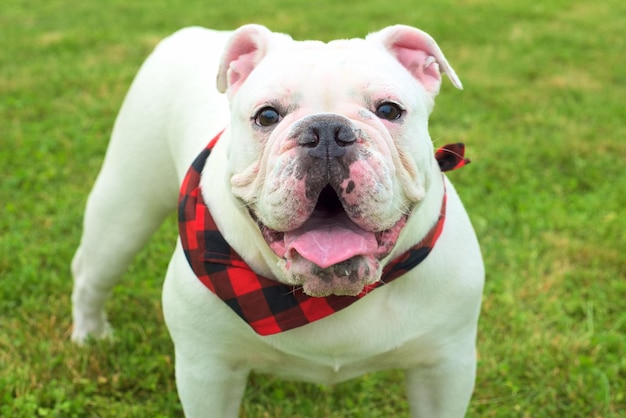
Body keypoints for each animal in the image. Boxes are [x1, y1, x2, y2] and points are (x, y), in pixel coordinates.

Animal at [72, 23, 482, 418]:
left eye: (389, 110)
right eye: (267, 116)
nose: (328, 131)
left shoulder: (444, 368)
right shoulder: (206, 371)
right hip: (125, 209)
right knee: (91, 276)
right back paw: (89, 335)